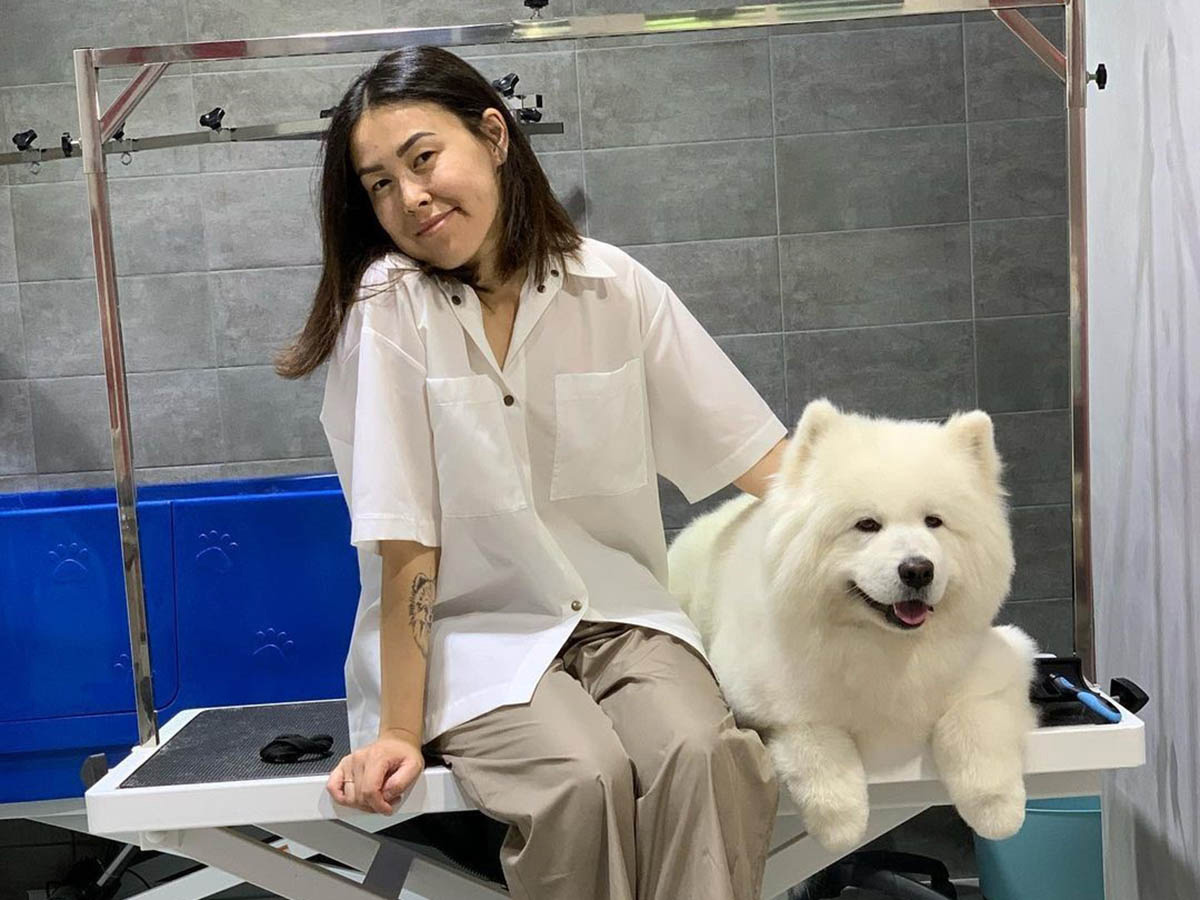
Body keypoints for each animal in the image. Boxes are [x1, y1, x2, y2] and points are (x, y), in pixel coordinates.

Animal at [668, 398, 1038, 852]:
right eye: (867, 525)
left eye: (934, 522)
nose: (918, 569)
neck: (884, 646)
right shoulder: (766, 702)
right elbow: (815, 744)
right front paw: (841, 821)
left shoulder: (1001, 665)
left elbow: (974, 723)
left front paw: (998, 812)